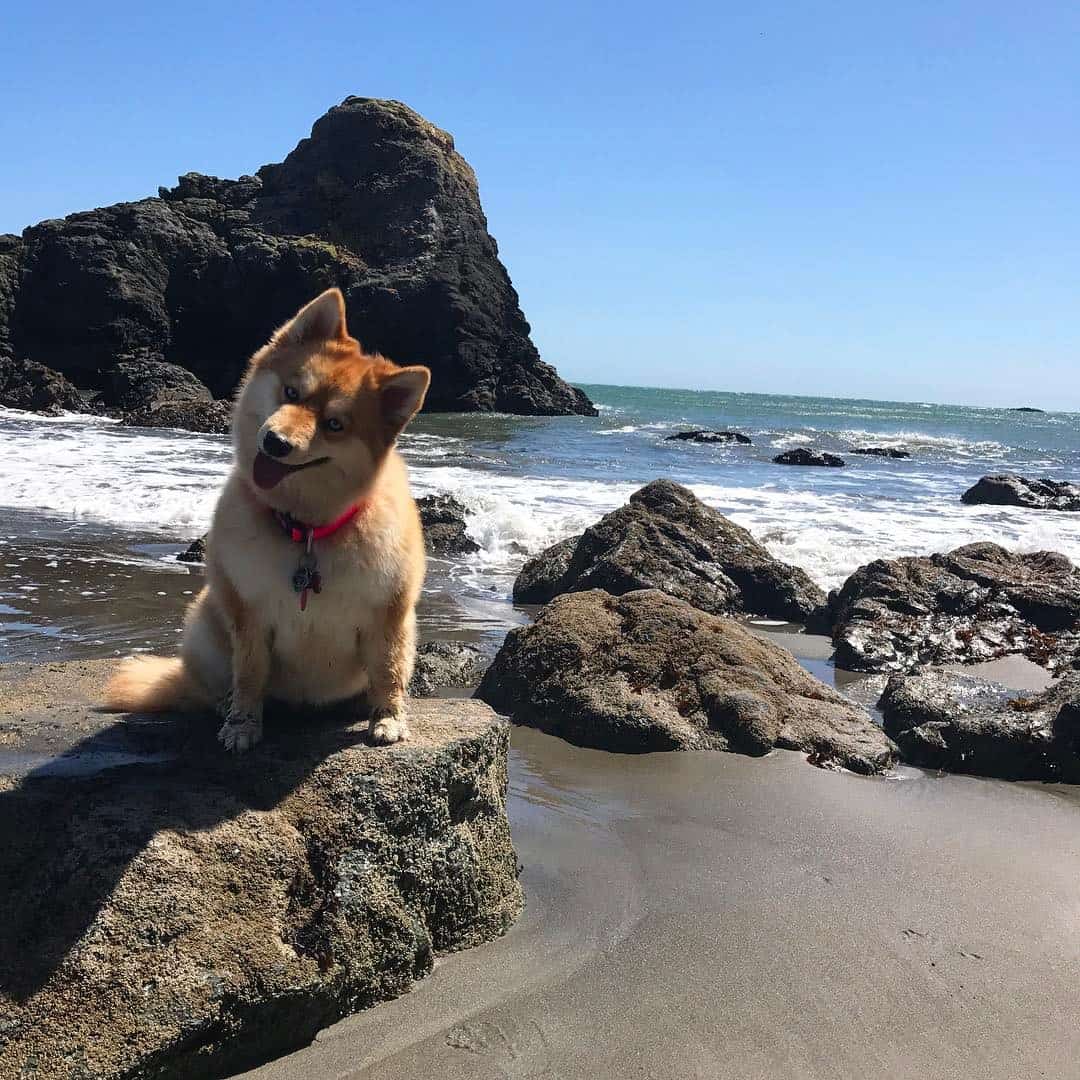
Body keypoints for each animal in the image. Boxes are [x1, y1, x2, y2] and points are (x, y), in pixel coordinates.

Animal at [105, 285, 432, 751]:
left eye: (334, 424)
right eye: (291, 392)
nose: (275, 442)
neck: (306, 529)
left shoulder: (389, 612)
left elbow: (388, 671)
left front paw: (387, 717)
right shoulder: (250, 614)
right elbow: (249, 674)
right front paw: (243, 722)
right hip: (205, 625)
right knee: (211, 685)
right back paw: (224, 704)